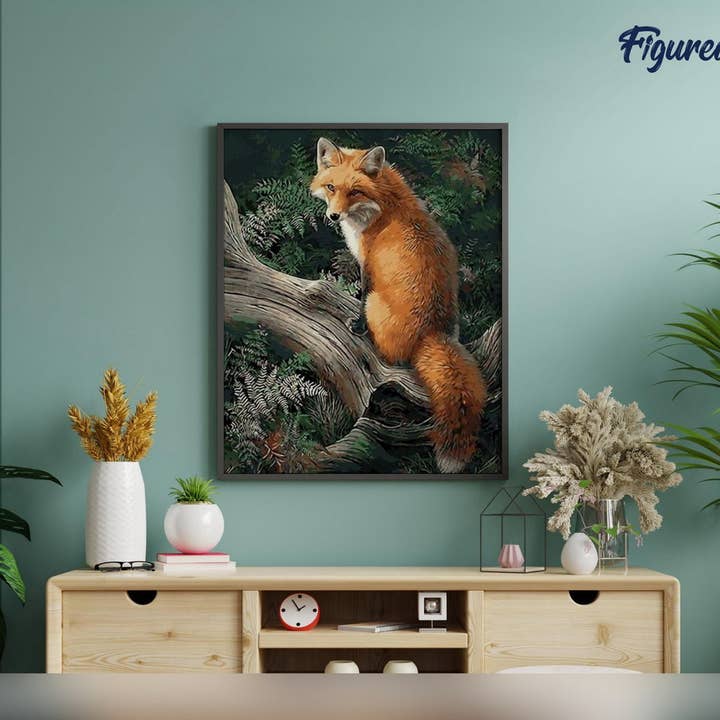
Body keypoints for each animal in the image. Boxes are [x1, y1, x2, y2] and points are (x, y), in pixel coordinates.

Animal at [310, 137, 487, 473]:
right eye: (331, 187)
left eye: (355, 191)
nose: (333, 216)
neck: (384, 205)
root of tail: (432, 332)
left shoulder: (367, 265)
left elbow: (361, 295)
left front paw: (357, 325)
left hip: (377, 305)